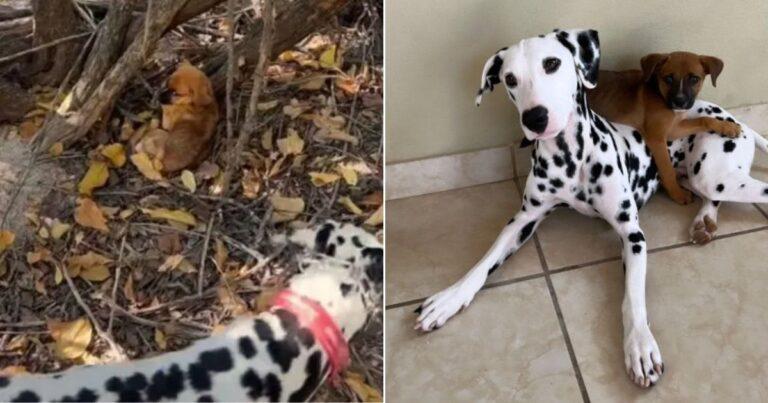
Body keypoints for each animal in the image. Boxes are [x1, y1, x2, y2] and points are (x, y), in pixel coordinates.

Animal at [584, 51, 740, 205]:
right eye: (668, 78)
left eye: (694, 79)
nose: (679, 101)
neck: (659, 93)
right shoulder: (657, 138)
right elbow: (667, 169)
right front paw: (677, 194)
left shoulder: (673, 128)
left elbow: (703, 119)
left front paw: (727, 126)